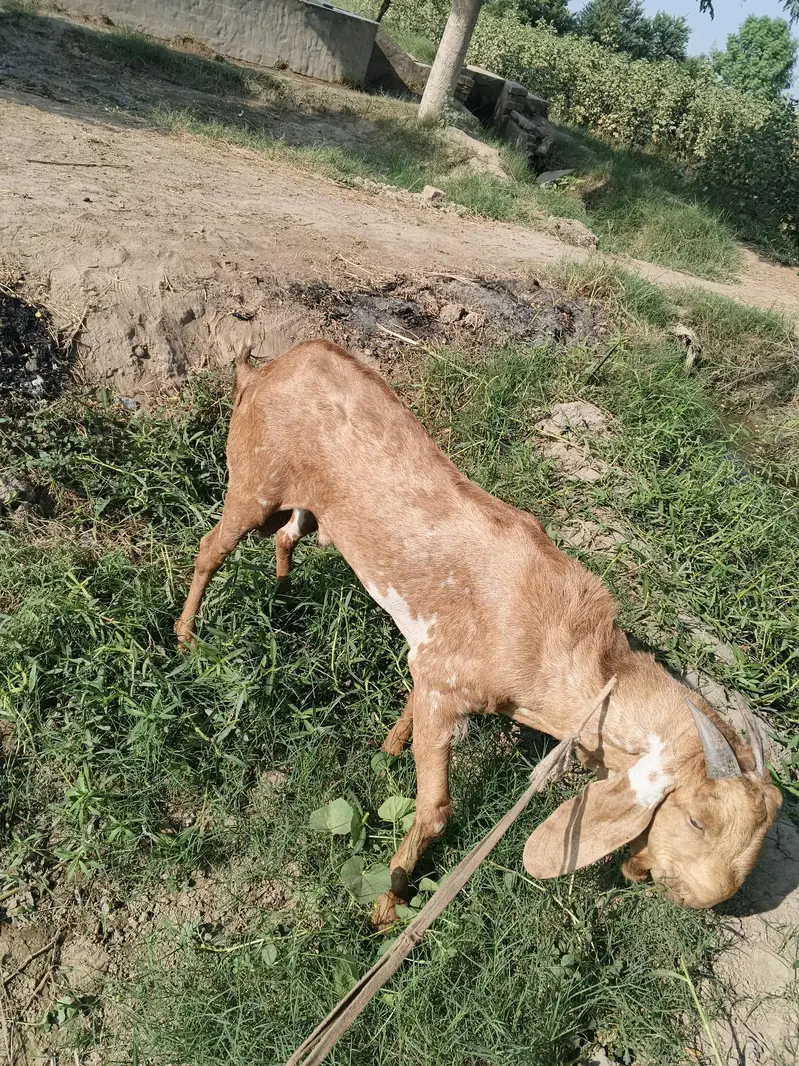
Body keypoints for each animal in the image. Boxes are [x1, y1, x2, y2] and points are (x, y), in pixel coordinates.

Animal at [176, 339, 782, 927]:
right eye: (697, 819)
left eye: (758, 838)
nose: (702, 899)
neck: (562, 650)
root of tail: (265, 368)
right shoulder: (450, 688)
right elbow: (435, 811)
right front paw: (386, 906)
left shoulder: (433, 666)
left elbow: (411, 707)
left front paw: (390, 748)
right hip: (254, 479)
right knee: (211, 548)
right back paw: (186, 639)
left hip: (301, 503)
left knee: (286, 537)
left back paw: (281, 598)